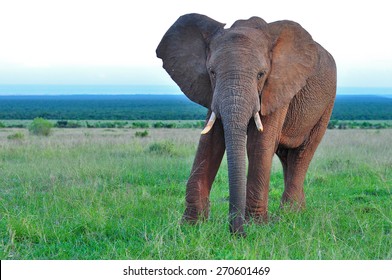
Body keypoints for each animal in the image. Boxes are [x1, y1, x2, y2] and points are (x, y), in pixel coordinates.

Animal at [156, 13, 336, 236]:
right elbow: (211, 142)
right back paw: (296, 213)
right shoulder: (212, 91)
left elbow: (259, 144)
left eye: (261, 74)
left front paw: (257, 227)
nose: (236, 233)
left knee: (302, 154)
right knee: (287, 157)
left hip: (327, 105)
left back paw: (289, 216)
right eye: (212, 72)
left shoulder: (277, 86)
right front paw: (190, 226)